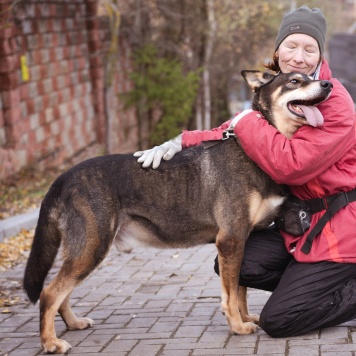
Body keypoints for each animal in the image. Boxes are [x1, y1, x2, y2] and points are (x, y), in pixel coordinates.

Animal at [24, 70, 330, 354]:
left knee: (62, 293)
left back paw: (73, 323)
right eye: (294, 81)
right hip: (91, 247)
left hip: (84, 250)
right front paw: (237, 326)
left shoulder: (245, 240)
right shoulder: (230, 240)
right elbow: (230, 295)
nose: (328, 84)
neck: (257, 150)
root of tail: (63, 178)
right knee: (50, 293)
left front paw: (244, 318)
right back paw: (51, 342)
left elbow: (240, 289)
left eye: (311, 77)